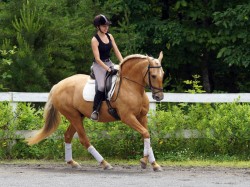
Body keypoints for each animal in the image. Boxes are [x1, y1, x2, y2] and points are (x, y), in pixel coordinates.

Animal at [26, 51, 164, 172]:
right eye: (153, 76)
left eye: (162, 74)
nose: (159, 97)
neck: (130, 86)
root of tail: (57, 86)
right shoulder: (128, 117)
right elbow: (145, 133)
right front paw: (144, 161)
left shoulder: (142, 117)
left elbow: (147, 135)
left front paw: (154, 164)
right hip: (73, 116)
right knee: (83, 139)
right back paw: (104, 163)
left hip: (78, 116)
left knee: (68, 136)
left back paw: (72, 163)